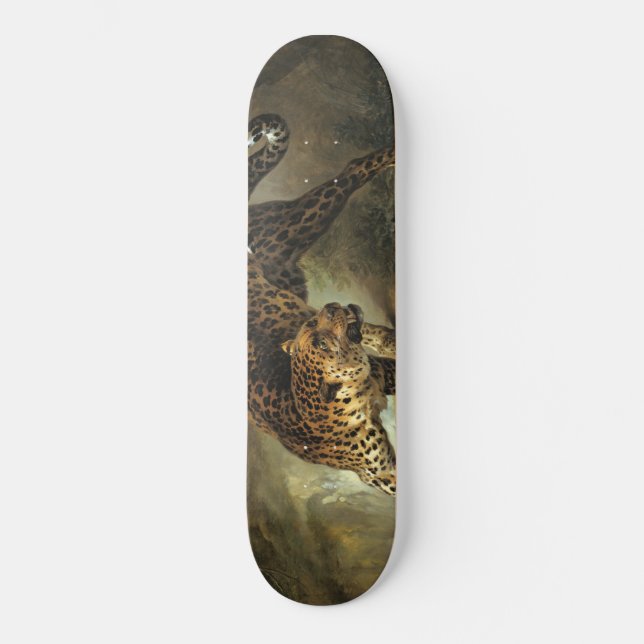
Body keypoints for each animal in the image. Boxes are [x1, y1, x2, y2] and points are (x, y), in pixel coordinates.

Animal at [248, 113, 397, 495]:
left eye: (315, 329)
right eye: (321, 340)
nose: (330, 308)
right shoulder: (381, 473)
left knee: (352, 167)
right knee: (351, 168)